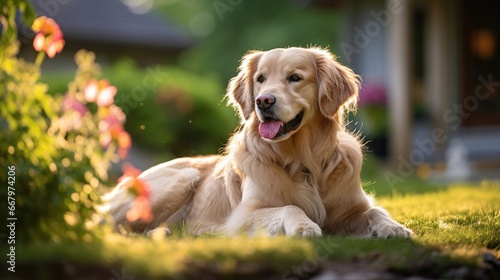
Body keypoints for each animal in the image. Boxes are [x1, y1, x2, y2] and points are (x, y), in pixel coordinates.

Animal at [102, 46, 414, 238]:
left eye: (295, 77)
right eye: (261, 79)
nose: (263, 101)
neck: (305, 163)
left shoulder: (350, 210)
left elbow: (373, 210)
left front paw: (393, 227)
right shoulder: (244, 215)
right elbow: (291, 207)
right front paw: (304, 226)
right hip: (180, 179)